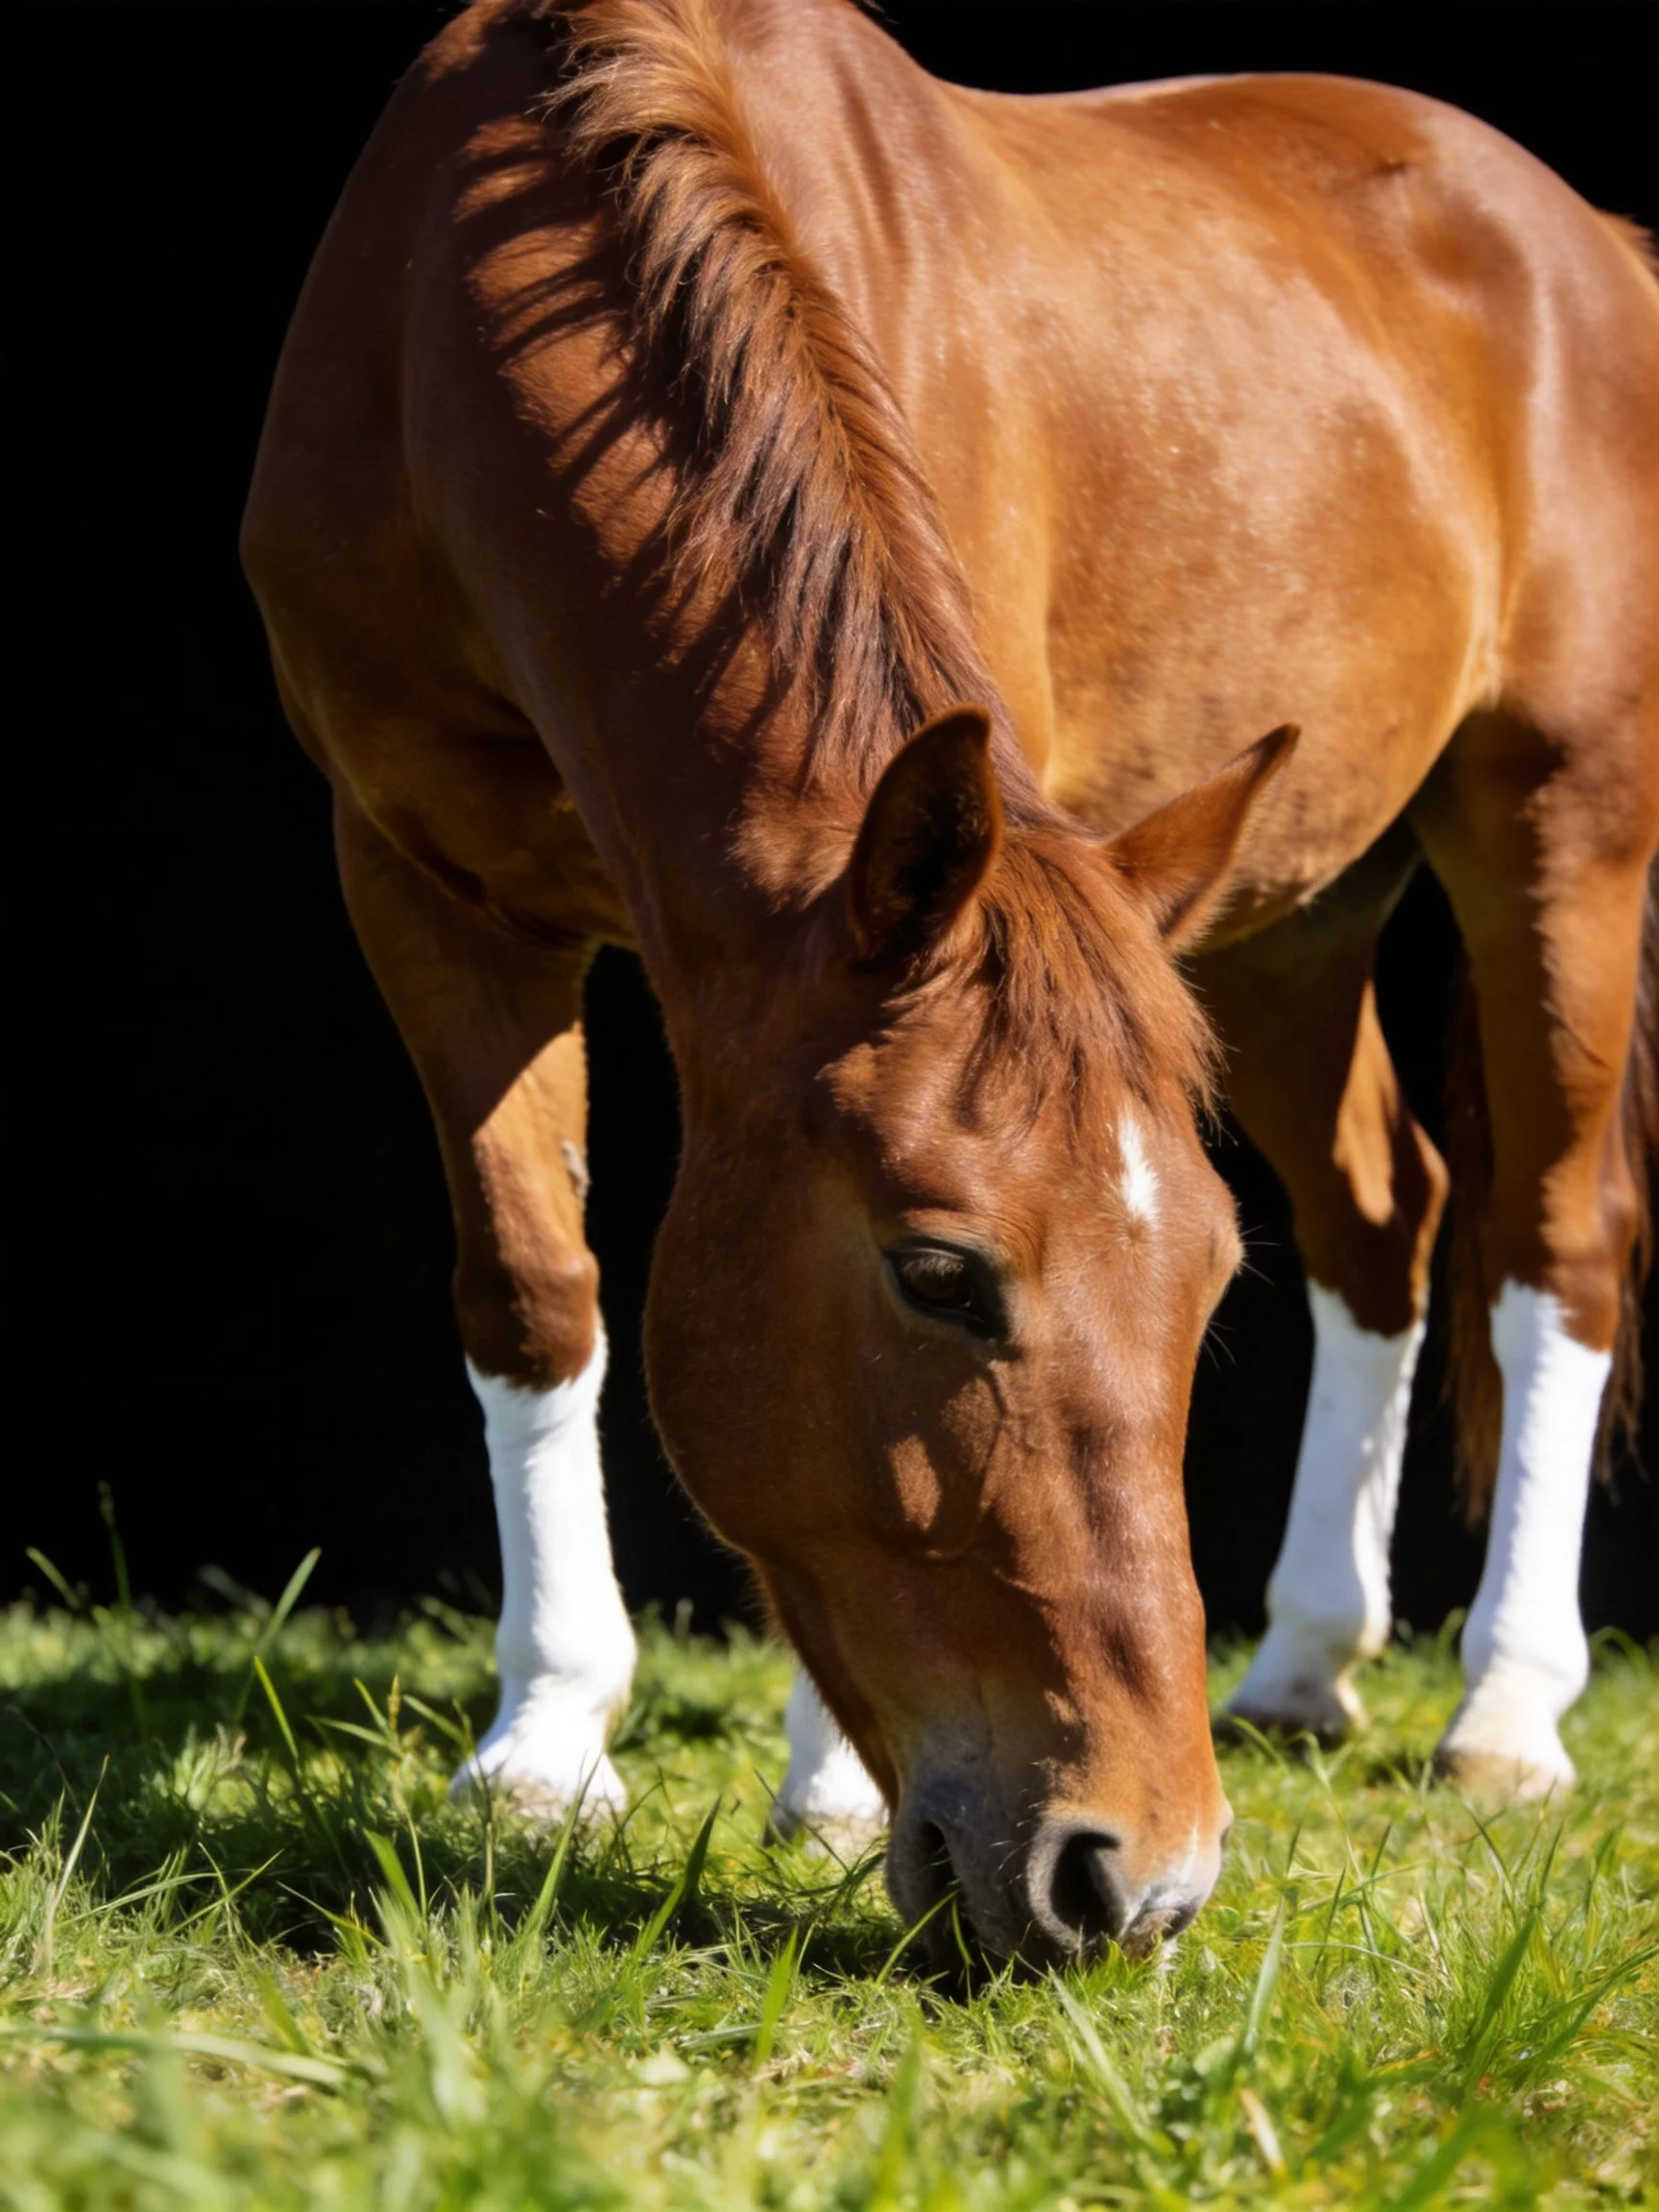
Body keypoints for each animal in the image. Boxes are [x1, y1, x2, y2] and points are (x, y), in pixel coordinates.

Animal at [243, 0, 1659, 1966]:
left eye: (1199, 1288)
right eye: (938, 1272)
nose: (1141, 1877)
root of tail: (1587, 238)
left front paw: (824, 1787)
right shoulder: (422, 889)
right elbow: (531, 1285)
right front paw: (546, 1743)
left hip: (1563, 822)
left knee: (1549, 1245)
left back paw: (1509, 1704)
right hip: (1287, 910)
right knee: (1385, 1216)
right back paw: (1302, 1662)